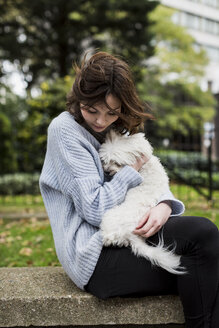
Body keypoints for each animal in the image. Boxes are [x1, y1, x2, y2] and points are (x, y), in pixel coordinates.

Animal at [98, 130, 184, 274]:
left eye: (117, 163)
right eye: (106, 160)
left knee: (109, 238)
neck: (143, 166)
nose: (107, 171)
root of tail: (131, 234)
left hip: (109, 217)